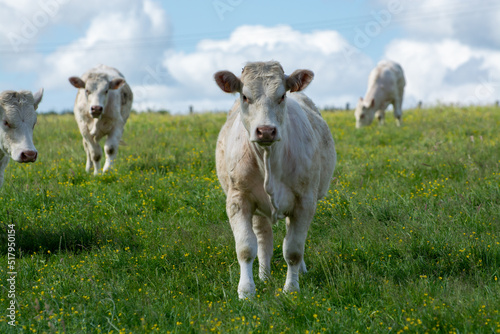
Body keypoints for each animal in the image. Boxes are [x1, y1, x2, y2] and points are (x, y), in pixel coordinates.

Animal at [214, 61, 336, 298]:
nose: (266, 131)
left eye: (282, 95)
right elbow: (245, 247)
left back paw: (300, 271)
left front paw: (291, 288)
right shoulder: (238, 200)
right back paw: (264, 275)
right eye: (245, 96)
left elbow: (294, 249)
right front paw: (246, 291)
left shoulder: (305, 201)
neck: (268, 158)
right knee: (263, 239)